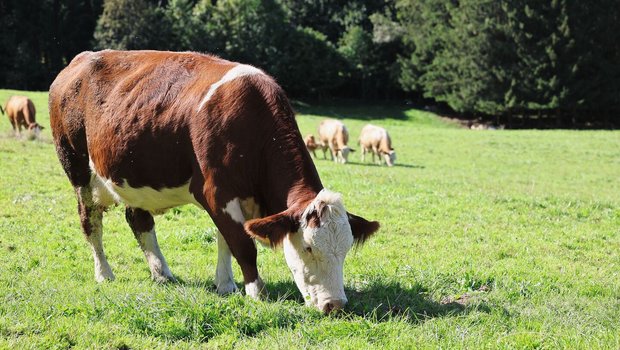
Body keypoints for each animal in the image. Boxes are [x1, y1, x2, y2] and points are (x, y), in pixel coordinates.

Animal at [48, 50, 378, 316]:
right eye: (308, 248)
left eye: (346, 248)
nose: (335, 304)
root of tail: (80, 60)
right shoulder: (216, 193)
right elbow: (242, 244)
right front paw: (256, 291)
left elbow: (226, 240)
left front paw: (226, 284)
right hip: (77, 169)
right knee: (90, 223)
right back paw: (104, 273)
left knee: (138, 220)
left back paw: (162, 273)